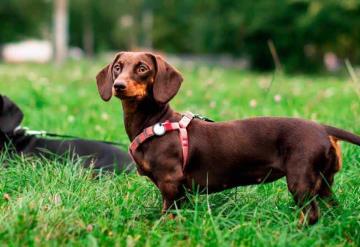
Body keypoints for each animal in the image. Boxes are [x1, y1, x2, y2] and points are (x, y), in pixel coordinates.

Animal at [95, 51, 360, 224]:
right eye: (117, 67)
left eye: (142, 68)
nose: (118, 86)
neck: (155, 121)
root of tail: (322, 128)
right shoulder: (181, 192)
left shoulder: (170, 183)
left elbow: (167, 215)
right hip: (323, 183)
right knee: (331, 209)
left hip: (301, 179)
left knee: (311, 214)